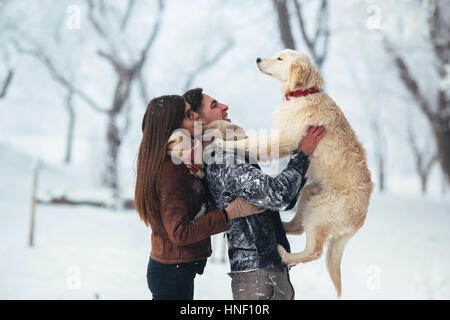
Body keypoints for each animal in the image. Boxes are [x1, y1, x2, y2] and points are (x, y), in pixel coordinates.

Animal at [216, 49, 374, 298]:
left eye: (281, 59)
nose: (258, 59)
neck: (302, 94)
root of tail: (362, 217)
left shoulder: (283, 140)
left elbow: (255, 144)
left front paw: (224, 142)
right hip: (310, 193)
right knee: (299, 228)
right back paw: (283, 227)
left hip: (320, 210)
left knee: (314, 251)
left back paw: (285, 255)